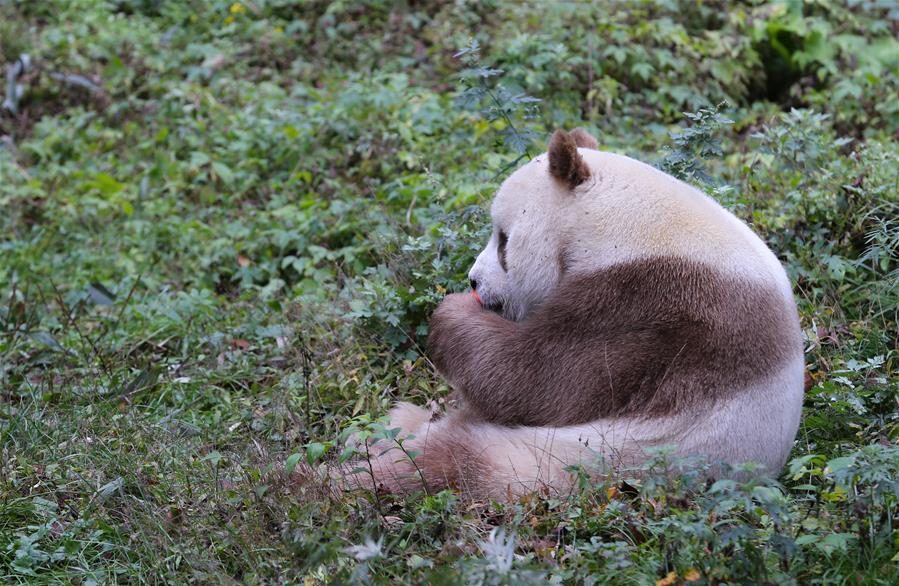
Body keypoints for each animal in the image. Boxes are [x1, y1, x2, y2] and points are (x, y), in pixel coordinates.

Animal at [353, 128, 804, 500]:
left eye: (503, 240)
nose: (474, 281)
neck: (626, 222)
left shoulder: (649, 302)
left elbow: (533, 381)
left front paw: (452, 312)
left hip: (588, 458)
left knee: (447, 465)